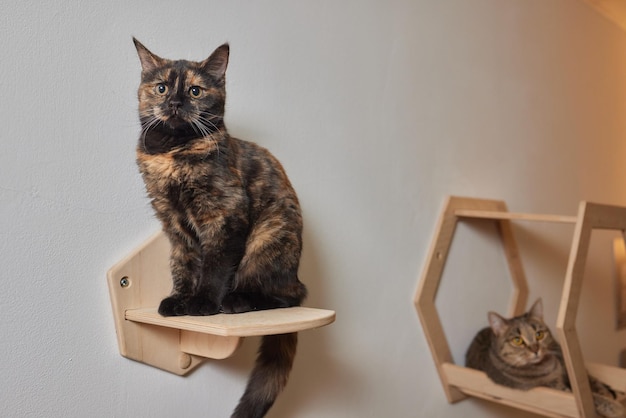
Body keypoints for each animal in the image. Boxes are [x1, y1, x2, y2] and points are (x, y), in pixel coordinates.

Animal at [132, 38, 308, 418]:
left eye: (195, 91)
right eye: (162, 87)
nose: (175, 103)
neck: (172, 151)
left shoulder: (225, 216)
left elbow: (213, 266)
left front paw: (201, 303)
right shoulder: (174, 224)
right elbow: (183, 266)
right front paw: (179, 300)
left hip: (265, 239)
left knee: (289, 296)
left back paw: (237, 301)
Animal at [466, 298, 620, 416]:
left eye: (539, 334)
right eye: (517, 340)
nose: (535, 349)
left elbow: (589, 383)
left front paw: (606, 393)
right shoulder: (557, 388)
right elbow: (589, 397)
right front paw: (613, 406)